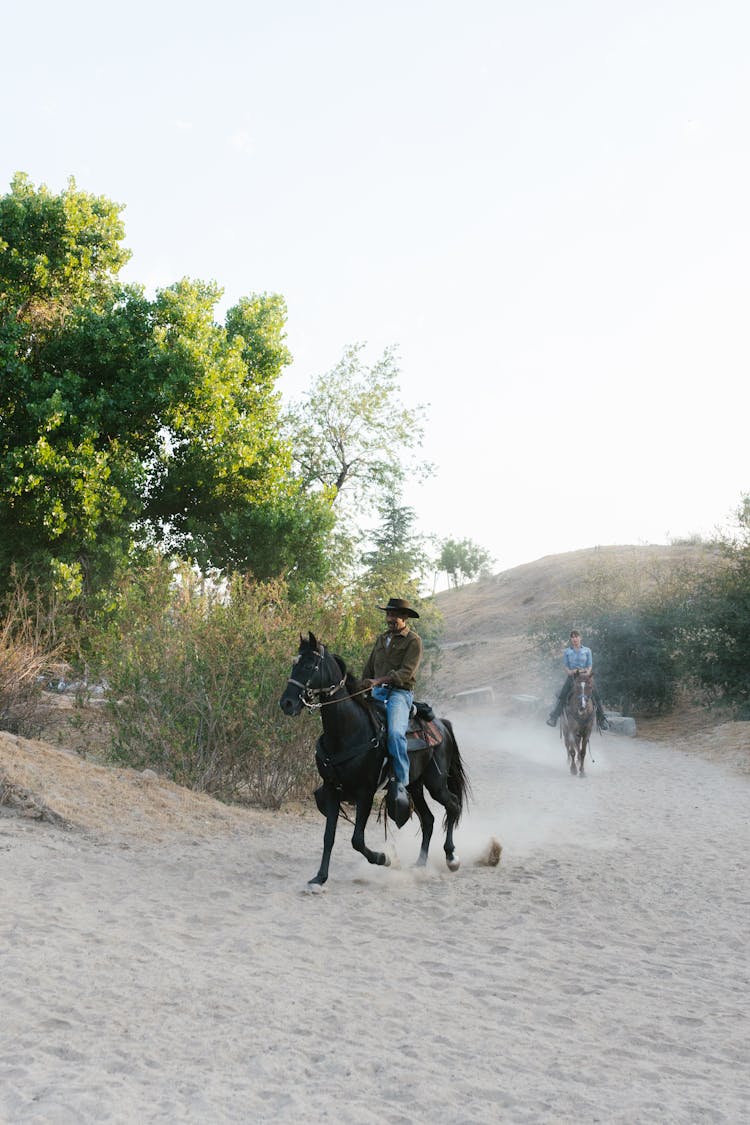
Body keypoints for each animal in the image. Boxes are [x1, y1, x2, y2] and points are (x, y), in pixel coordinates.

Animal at [279, 634, 470, 886]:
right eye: (294, 663)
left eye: (310, 665)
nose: (287, 703)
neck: (348, 731)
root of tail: (442, 724)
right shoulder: (331, 790)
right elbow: (328, 836)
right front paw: (319, 877)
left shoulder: (365, 792)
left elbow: (357, 840)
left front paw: (384, 858)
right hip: (415, 785)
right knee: (428, 820)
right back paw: (419, 864)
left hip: (436, 783)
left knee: (453, 805)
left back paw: (451, 858)